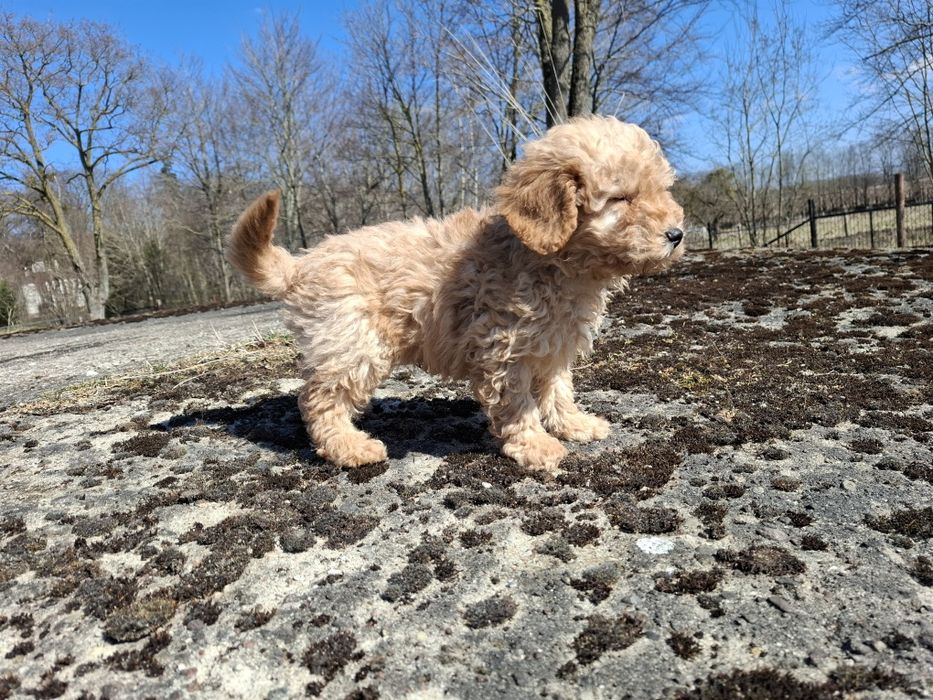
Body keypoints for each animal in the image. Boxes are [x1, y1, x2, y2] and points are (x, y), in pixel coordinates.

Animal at [227, 116, 684, 472]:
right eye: (621, 198)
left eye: (661, 190)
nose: (677, 234)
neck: (554, 263)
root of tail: (303, 263)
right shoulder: (503, 348)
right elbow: (518, 404)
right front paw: (535, 445)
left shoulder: (552, 345)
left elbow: (557, 389)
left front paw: (573, 424)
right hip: (352, 343)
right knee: (320, 399)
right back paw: (349, 447)